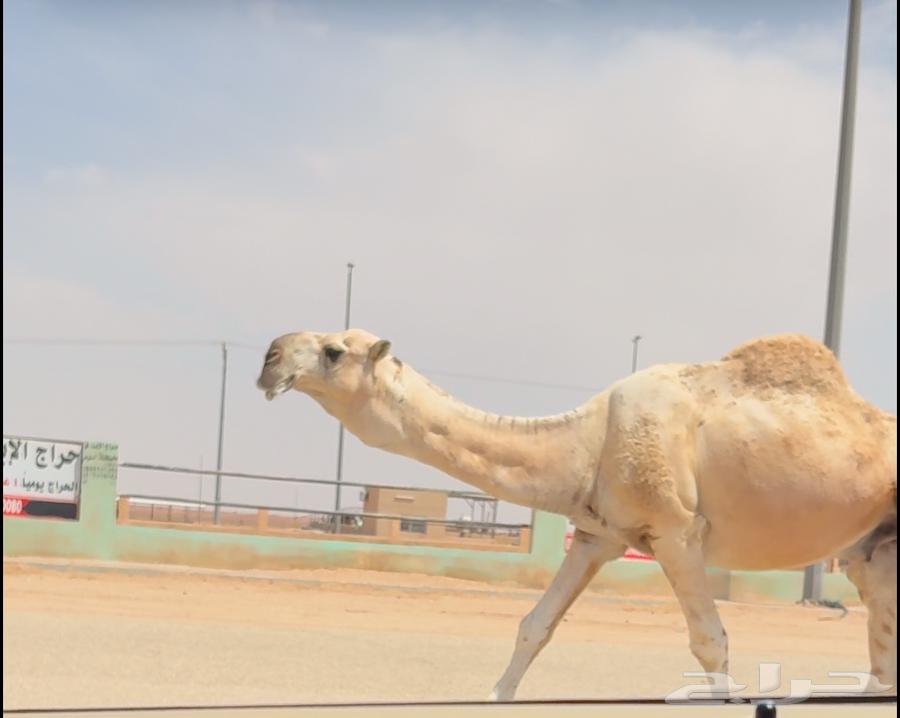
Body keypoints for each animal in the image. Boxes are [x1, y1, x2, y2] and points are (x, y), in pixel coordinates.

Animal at [257, 329, 897, 699]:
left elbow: (710, 643)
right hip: (871, 550)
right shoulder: (596, 535)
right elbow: (532, 628)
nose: (269, 356)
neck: (588, 441)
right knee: (881, 646)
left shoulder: (675, 531)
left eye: (333, 351)